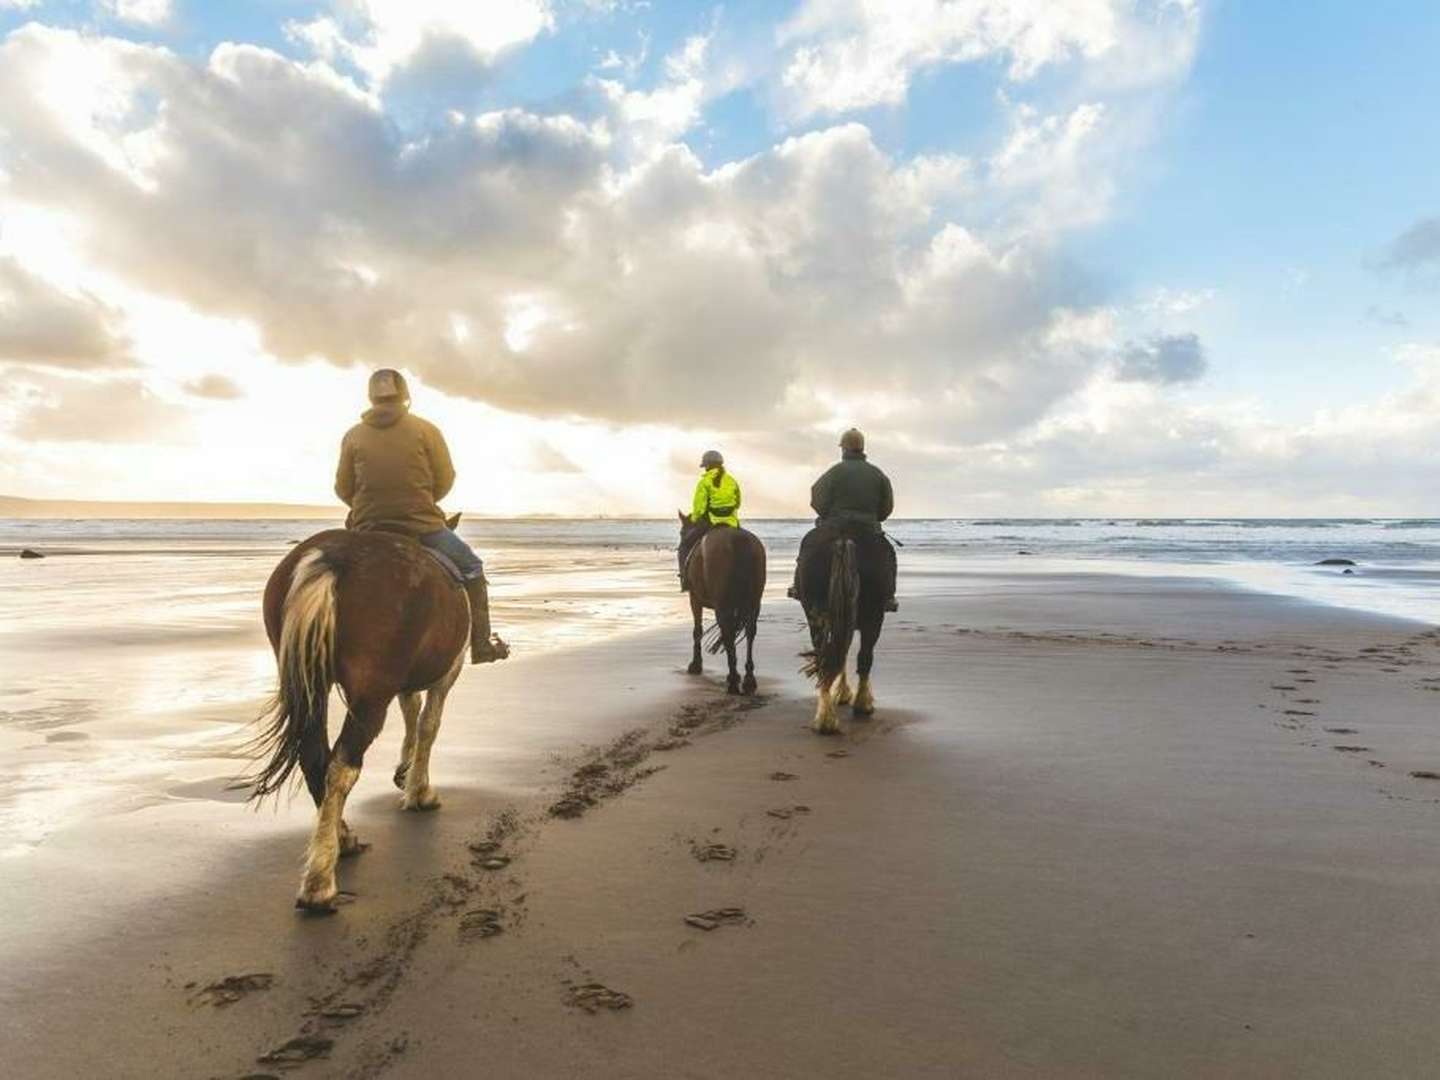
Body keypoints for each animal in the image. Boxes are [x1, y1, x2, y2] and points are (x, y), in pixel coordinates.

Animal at [244, 529, 469, 915]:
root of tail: (332, 556)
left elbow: (412, 710)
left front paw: (405, 772)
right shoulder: (445, 675)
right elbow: (428, 724)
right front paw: (419, 791)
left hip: (312, 685)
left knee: (314, 759)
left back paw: (342, 838)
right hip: (370, 695)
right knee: (342, 766)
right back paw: (319, 883)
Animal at [682, 512, 771, 696]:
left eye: (682, 533)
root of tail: (739, 541)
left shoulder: (694, 598)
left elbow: (697, 631)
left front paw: (696, 665)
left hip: (723, 605)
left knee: (728, 631)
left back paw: (733, 680)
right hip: (754, 603)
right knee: (750, 631)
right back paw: (748, 679)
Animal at [800, 529, 887, 737]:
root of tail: (843, 539)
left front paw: (841, 692)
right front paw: (845, 693)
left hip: (818, 616)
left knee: (827, 657)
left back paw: (826, 717)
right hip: (874, 617)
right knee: (863, 657)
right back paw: (860, 705)